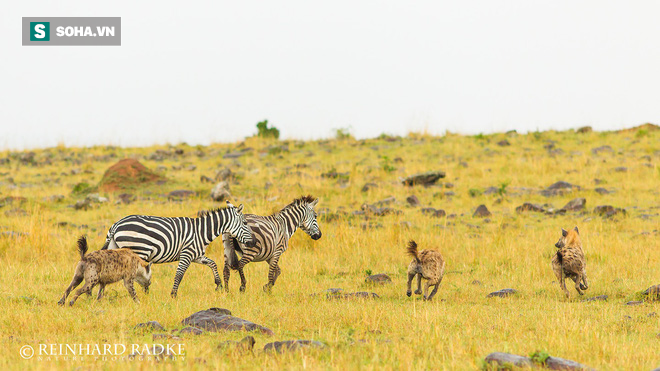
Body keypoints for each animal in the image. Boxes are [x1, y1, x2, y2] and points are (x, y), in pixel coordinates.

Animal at [100, 201, 255, 300]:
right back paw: (142, 294)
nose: (252, 242)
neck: (201, 232)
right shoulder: (187, 254)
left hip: (115, 249)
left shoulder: (197, 255)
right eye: (245, 223)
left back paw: (100, 296)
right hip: (139, 251)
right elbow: (179, 275)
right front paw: (173, 295)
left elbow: (212, 263)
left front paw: (219, 285)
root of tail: (116, 225)